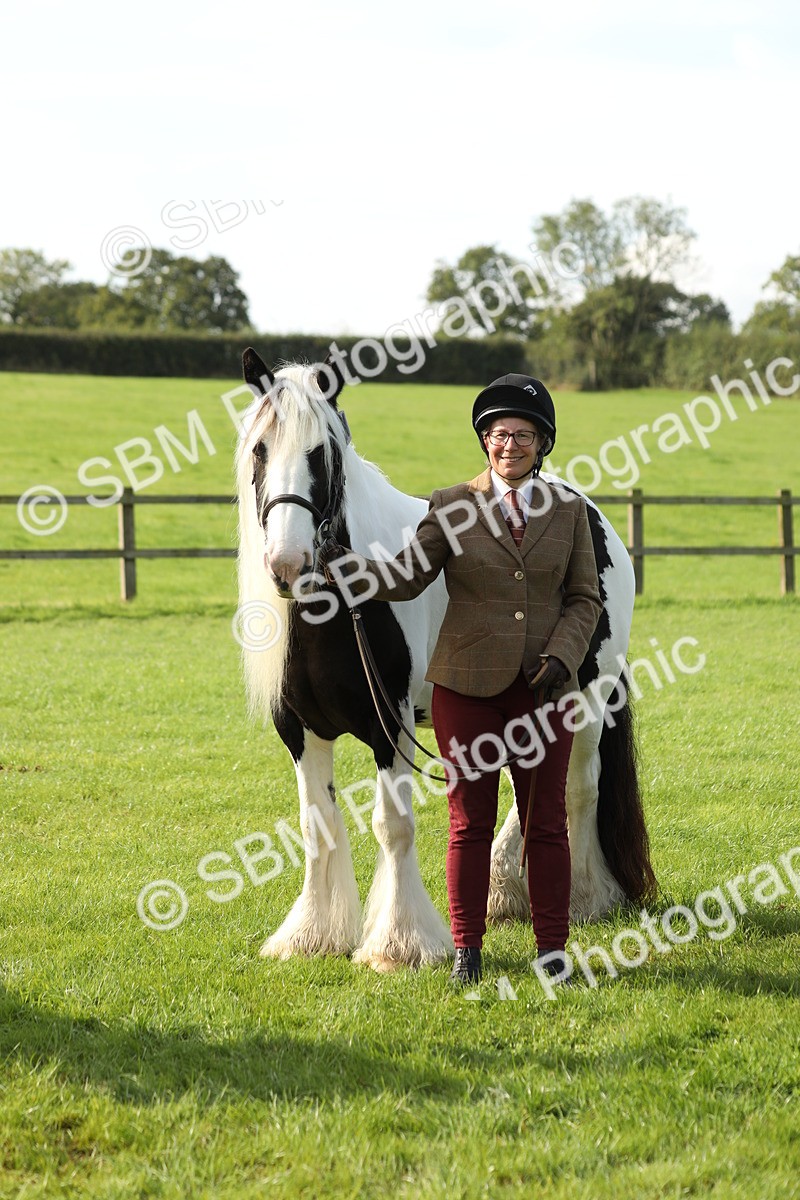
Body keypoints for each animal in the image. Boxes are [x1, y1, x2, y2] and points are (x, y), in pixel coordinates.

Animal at [235, 348, 655, 971]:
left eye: (323, 452)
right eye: (260, 449)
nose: (288, 563)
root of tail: (593, 516)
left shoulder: (390, 728)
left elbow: (393, 826)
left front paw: (400, 944)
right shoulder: (300, 731)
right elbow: (318, 826)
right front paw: (312, 936)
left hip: (586, 694)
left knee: (580, 786)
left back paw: (584, 898)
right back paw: (509, 889)